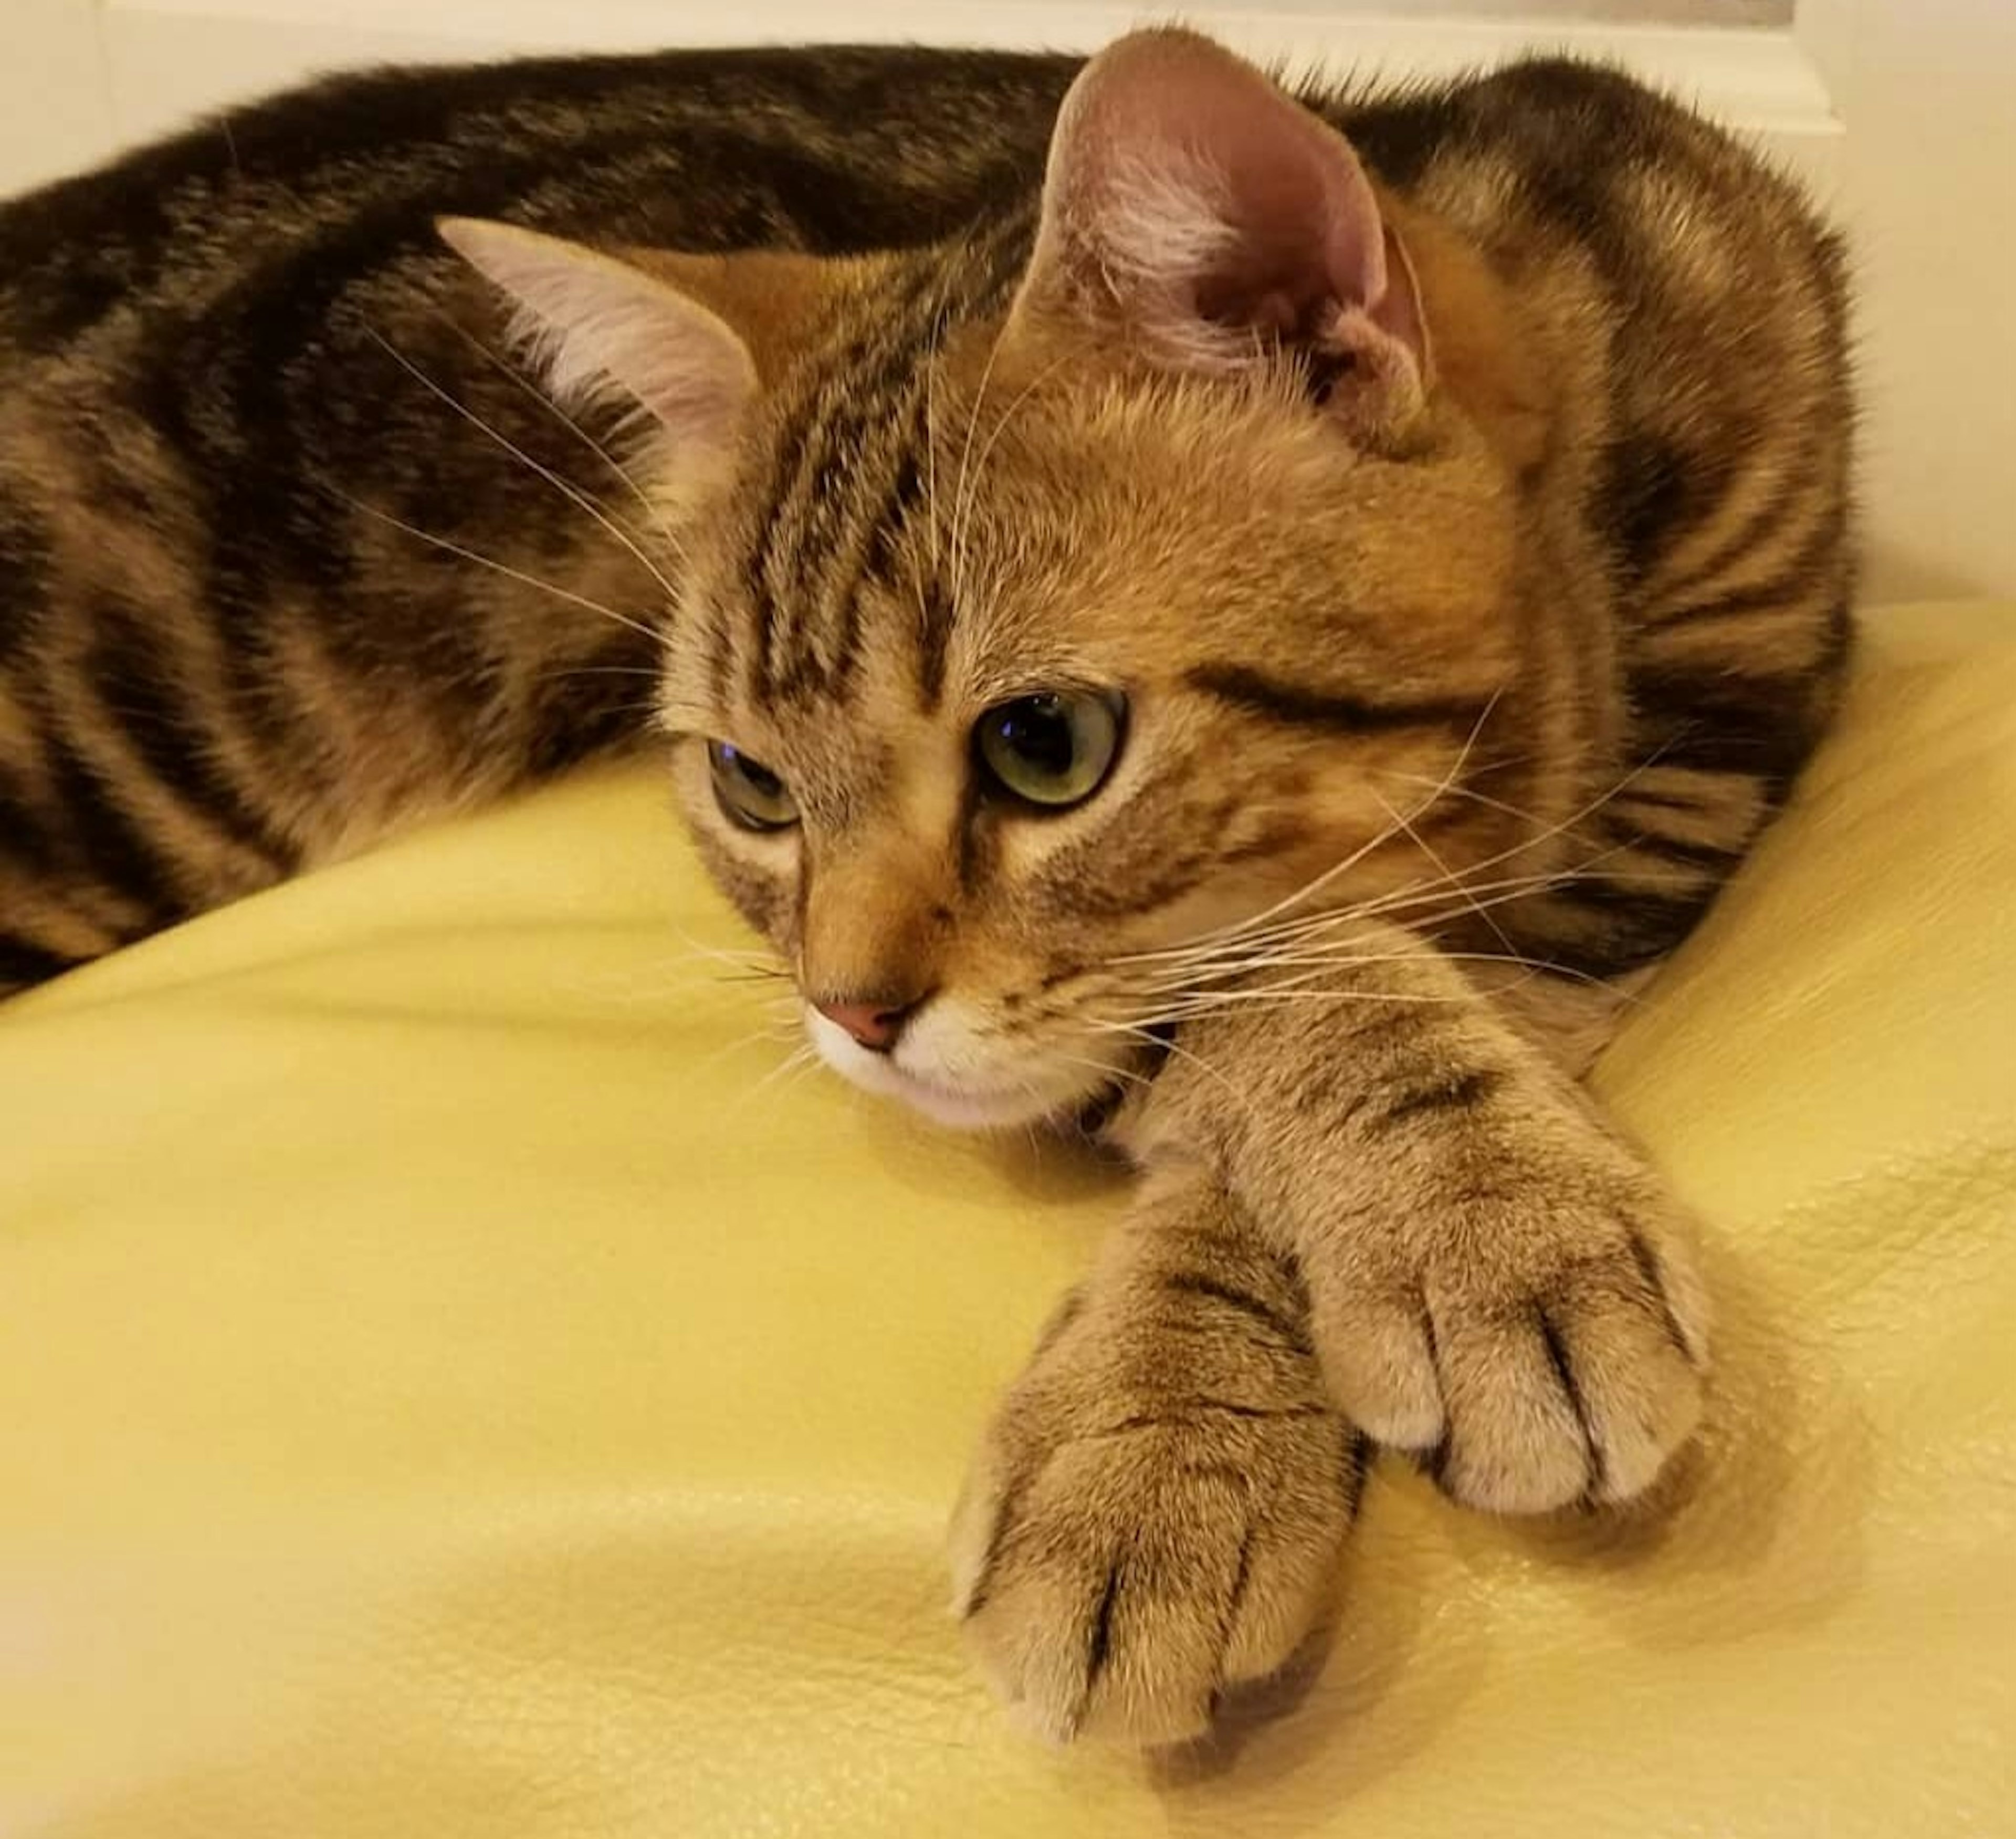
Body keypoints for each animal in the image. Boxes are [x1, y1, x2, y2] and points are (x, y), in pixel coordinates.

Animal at [0, 28, 1846, 1742]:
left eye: (1045, 746)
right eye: (751, 786)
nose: (850, 1012)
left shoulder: (1693, 767)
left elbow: (1327, 990)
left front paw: (1390, 1285)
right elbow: (1257, 1016)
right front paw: (1172, 1433)